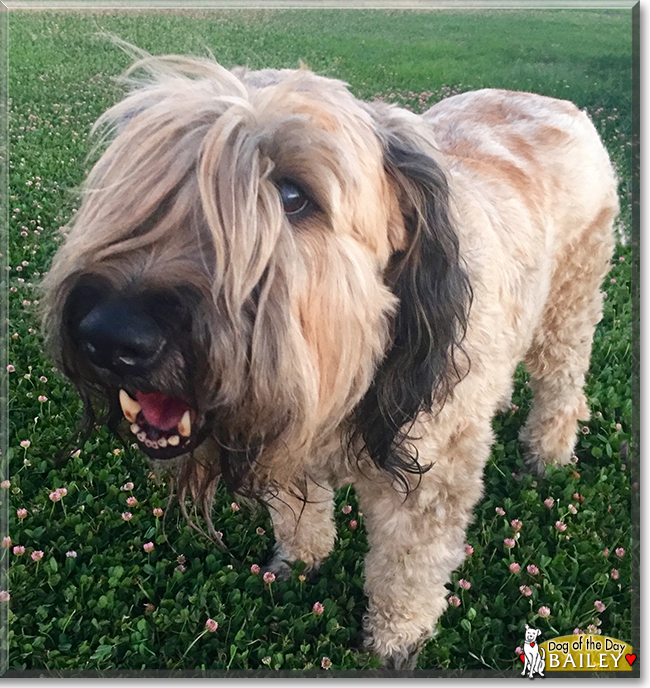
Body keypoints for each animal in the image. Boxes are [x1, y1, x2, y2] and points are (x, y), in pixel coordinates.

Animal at [40, 53, 616, 672]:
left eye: (292, 195)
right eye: (145, 177)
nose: (109, 335)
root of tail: (555, 102)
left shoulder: (426, 481)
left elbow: (407, 568)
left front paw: (395, 640)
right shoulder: (283, 436)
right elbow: (299, 515)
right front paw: (297, 565)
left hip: (569, 304)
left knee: (561, 383)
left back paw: (547, 455)